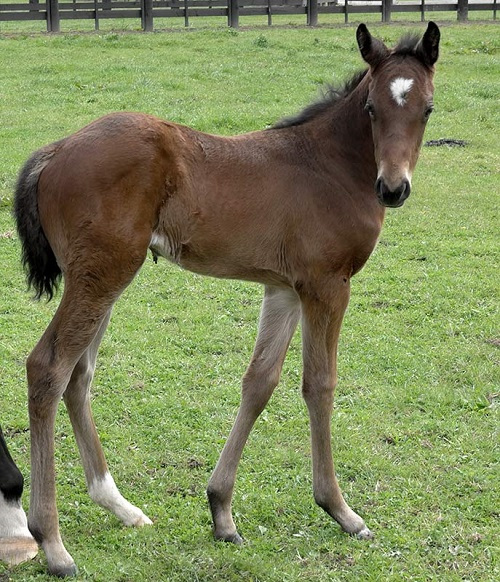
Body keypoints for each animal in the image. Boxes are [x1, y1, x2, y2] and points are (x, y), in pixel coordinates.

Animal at [13, 24, 440, 580]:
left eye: (427, 108)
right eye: (370, 107)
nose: (393, 188)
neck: (330, 165)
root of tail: (57, 148)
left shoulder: (284, 289)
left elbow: (259, 383)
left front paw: (221, 511)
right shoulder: (327, 285)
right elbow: (319, 384)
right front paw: (341, 510)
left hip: (101, 279)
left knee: (78, 375)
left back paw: (120, 506)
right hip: (101, 276)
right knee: (48, 367)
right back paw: (52, 541)